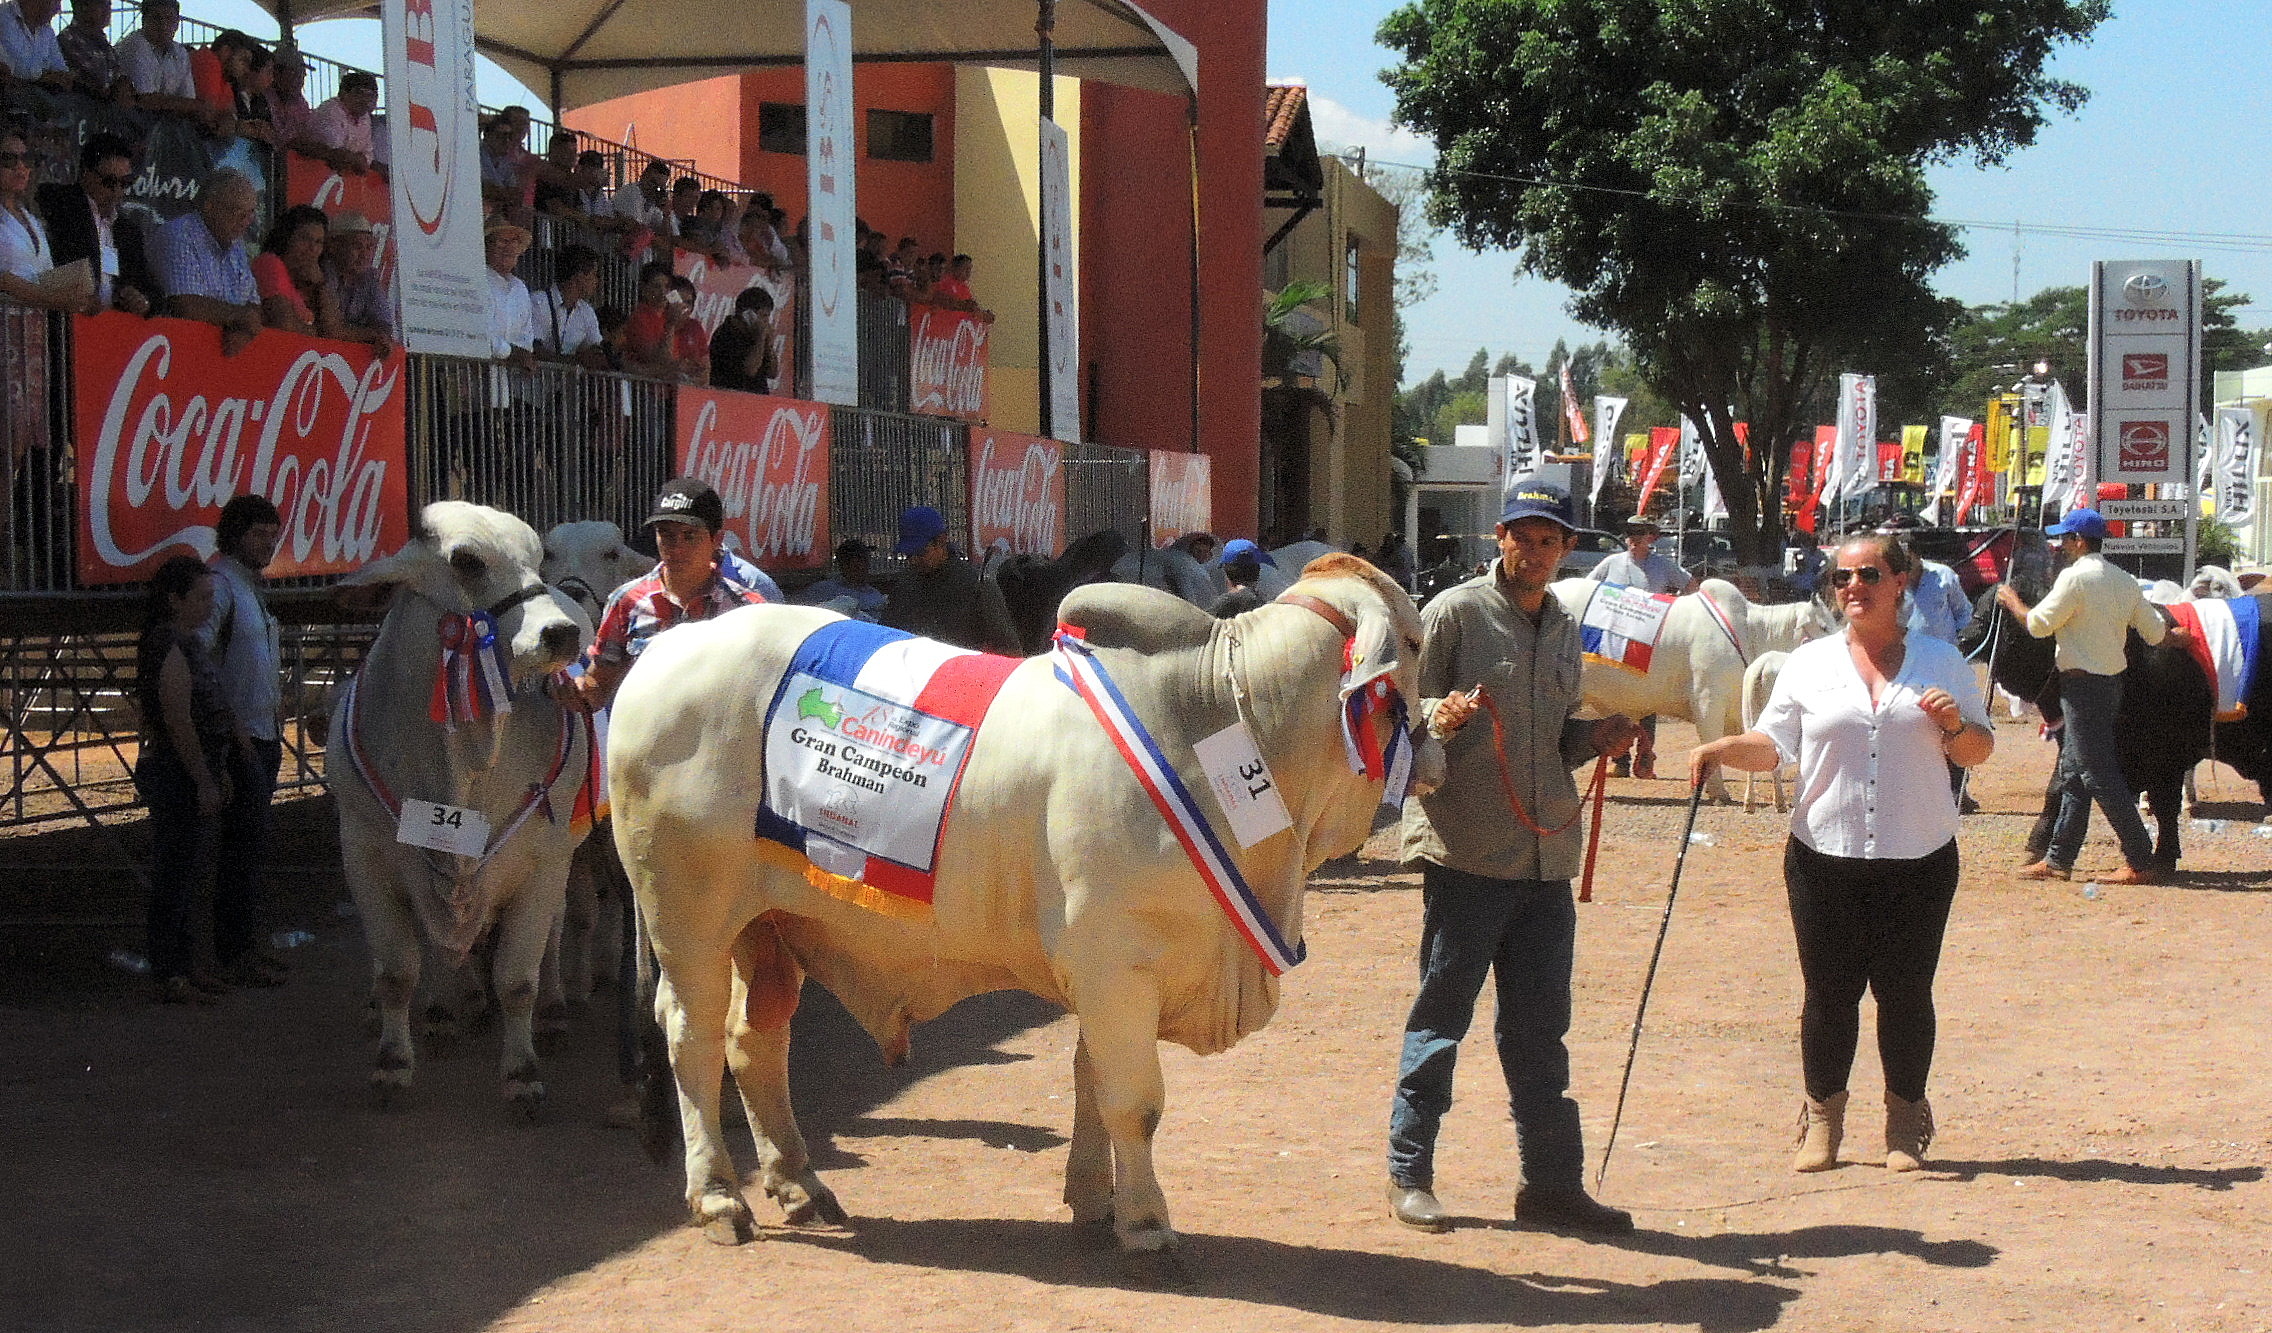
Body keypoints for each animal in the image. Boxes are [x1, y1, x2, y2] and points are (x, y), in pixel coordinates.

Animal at [331, 504, 595, 1117]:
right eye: (467, 561)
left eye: (538, 555)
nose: (561, 634)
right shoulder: (365, 856)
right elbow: (397, 972)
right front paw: (393, 1063)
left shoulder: (543, 860)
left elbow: (517, 979)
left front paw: (522, 1074)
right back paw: (446, 1012)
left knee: (549, 935)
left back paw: (550, 1012)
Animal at [608, 558, 1435, 1271]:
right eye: (1417, 640)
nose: (1434, 738)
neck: (1221, 723)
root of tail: (664, 652)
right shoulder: (1116, 966)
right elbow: (1133, 1100)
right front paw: (1147, 1225)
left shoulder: (1103, 975)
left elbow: (1090, 1085)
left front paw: (1094, 1203)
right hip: (690, 920)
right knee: (692, 1038)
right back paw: (721, 1198)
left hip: (770, 928)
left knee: (755, 1042)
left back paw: (798, 1184)